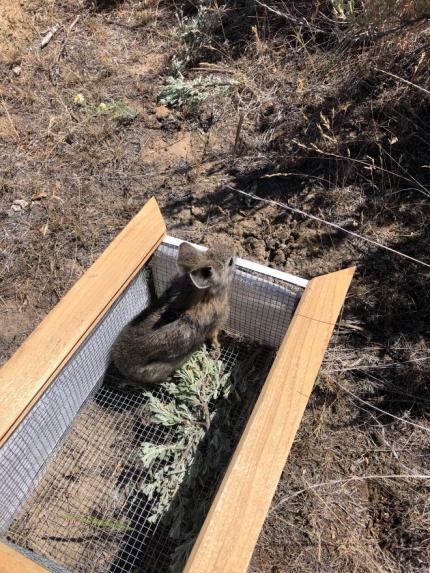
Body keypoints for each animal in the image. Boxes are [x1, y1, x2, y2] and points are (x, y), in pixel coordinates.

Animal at [108, 241, 235, 388]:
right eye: (230, 262)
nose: (232, 250)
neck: (201, 293)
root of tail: (122, 368)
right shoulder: (215, 326)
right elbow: (214, 337)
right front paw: (218, 346)